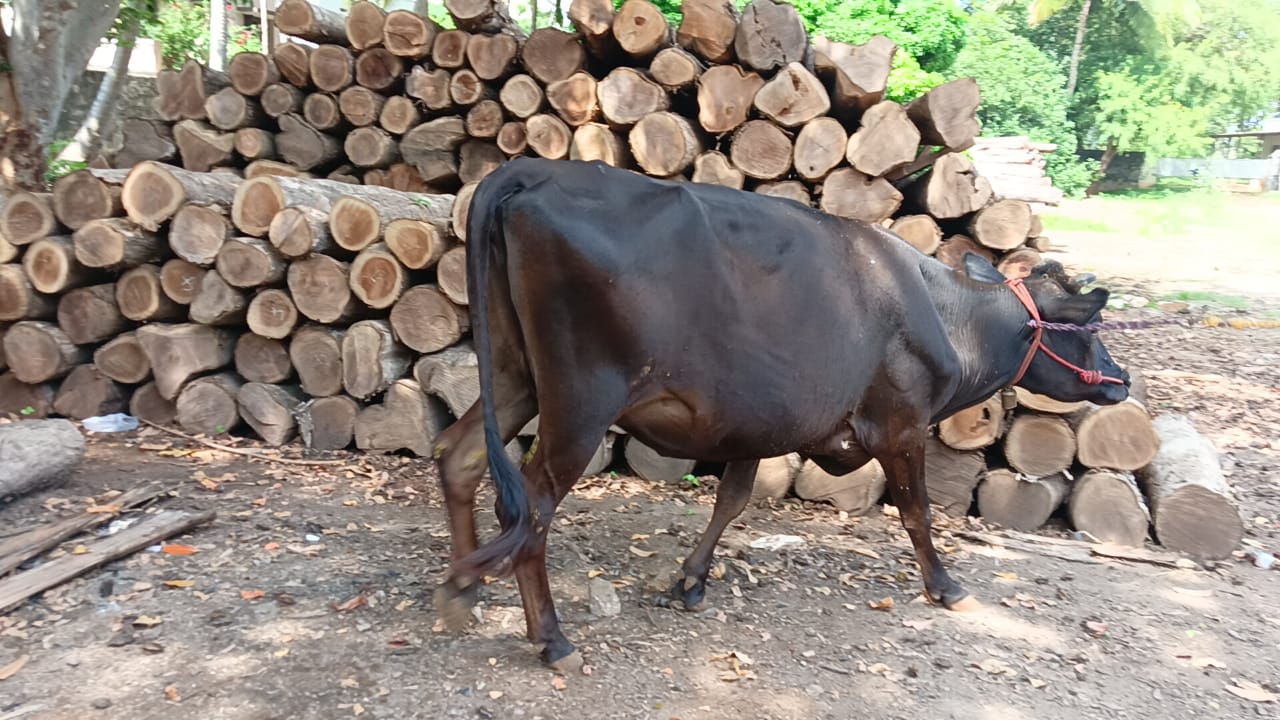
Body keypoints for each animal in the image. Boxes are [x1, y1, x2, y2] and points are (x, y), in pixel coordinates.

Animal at [430, 157, 1130, 673]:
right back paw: (551, 639)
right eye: (1088, 330)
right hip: (581, 400)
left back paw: (461, 593)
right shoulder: (901, 422)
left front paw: (690, 582)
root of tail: (527, 170)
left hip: (513, 373)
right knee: (532, 506)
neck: (947, 315)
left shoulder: (751, 423)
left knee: (460, 456)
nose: (1121, 381)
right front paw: (945, 586)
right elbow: (916, 511)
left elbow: (732, 500)